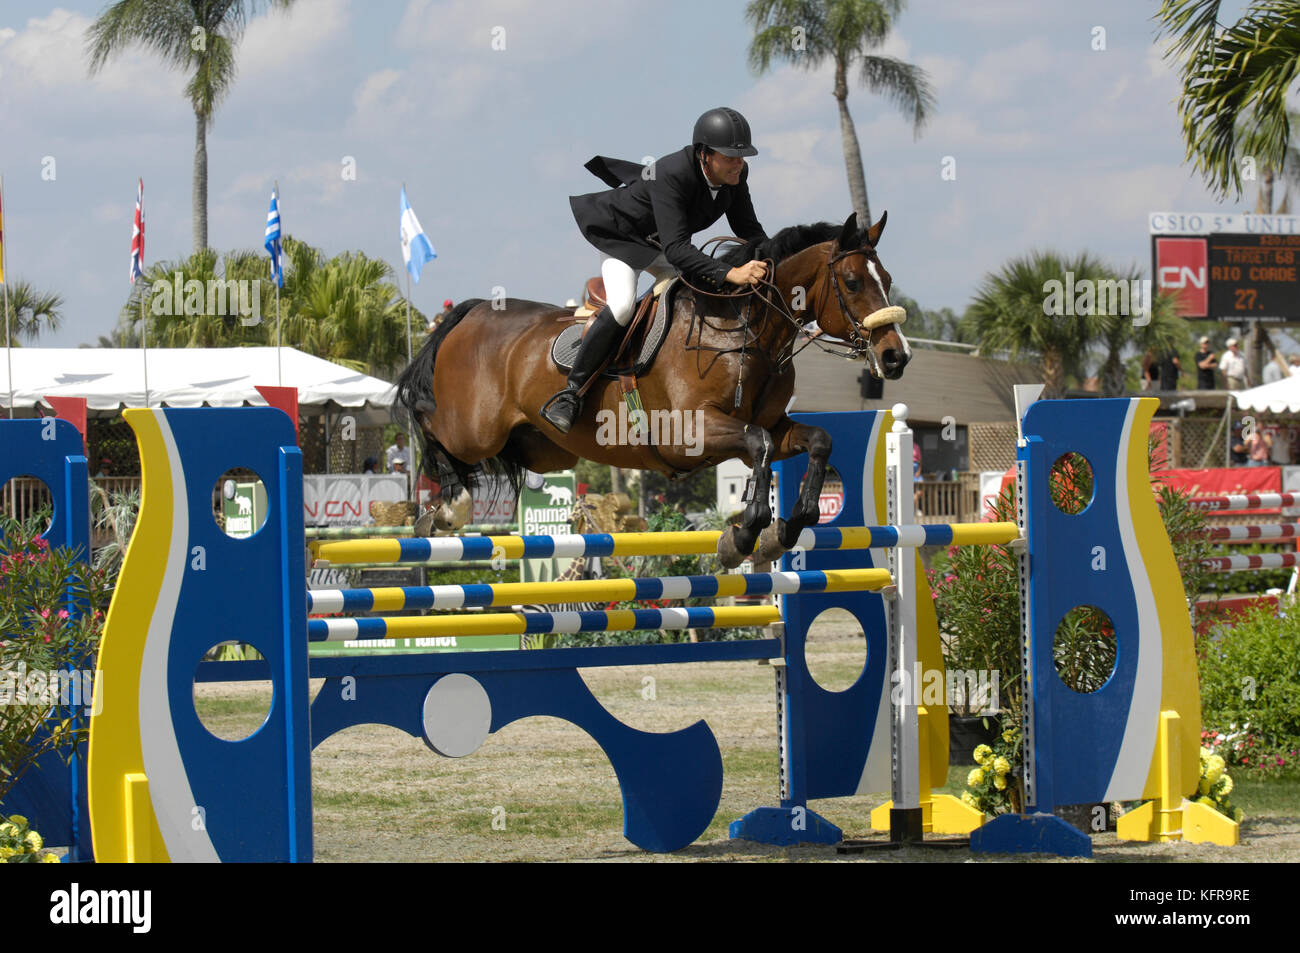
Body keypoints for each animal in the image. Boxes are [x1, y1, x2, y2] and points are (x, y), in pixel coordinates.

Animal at [395, 211, 915, 569]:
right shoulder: (687, 432)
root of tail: (473, 311)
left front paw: (787, 527)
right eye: (852, 282)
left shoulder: (768, 426)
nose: (897, 357)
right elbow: (759, 444)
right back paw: (442, 511)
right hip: (474, 429)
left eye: (888, 280)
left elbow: (814, 440)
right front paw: (743, 536)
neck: (743, 331)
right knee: (427, 420)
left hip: (542, 448)